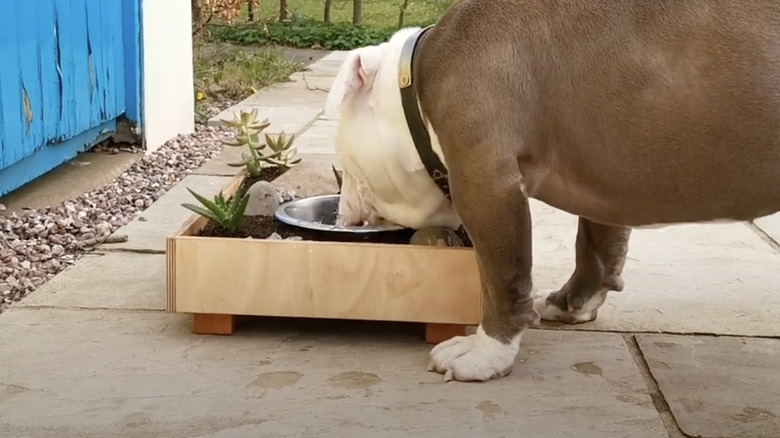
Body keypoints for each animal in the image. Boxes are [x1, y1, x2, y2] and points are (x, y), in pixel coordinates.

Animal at [324, 0, 780, 382]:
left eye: (344, 165)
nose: (339, 214)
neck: (411, 88)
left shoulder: (485, 182)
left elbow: (502, 276)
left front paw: (486, 354)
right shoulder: (605, 180)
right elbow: (595, 245)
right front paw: (571, 303)